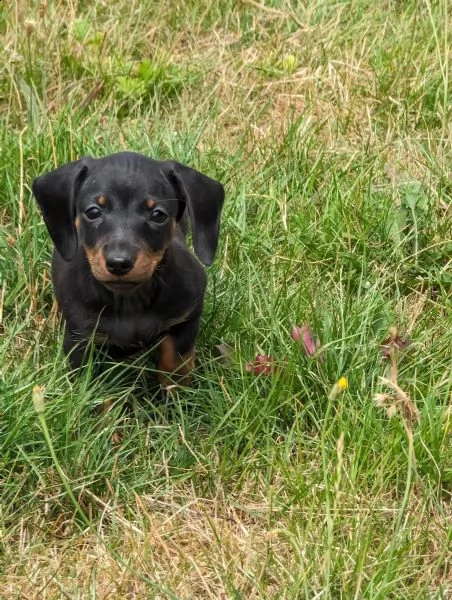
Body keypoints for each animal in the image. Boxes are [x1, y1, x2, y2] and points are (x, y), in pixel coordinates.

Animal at [32, 150, 224, 384]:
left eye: (158, 214)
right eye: (93, 211)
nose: (119, 263)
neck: (129, 301)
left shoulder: (186, 317)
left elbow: (174, 364)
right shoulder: (80, 339)